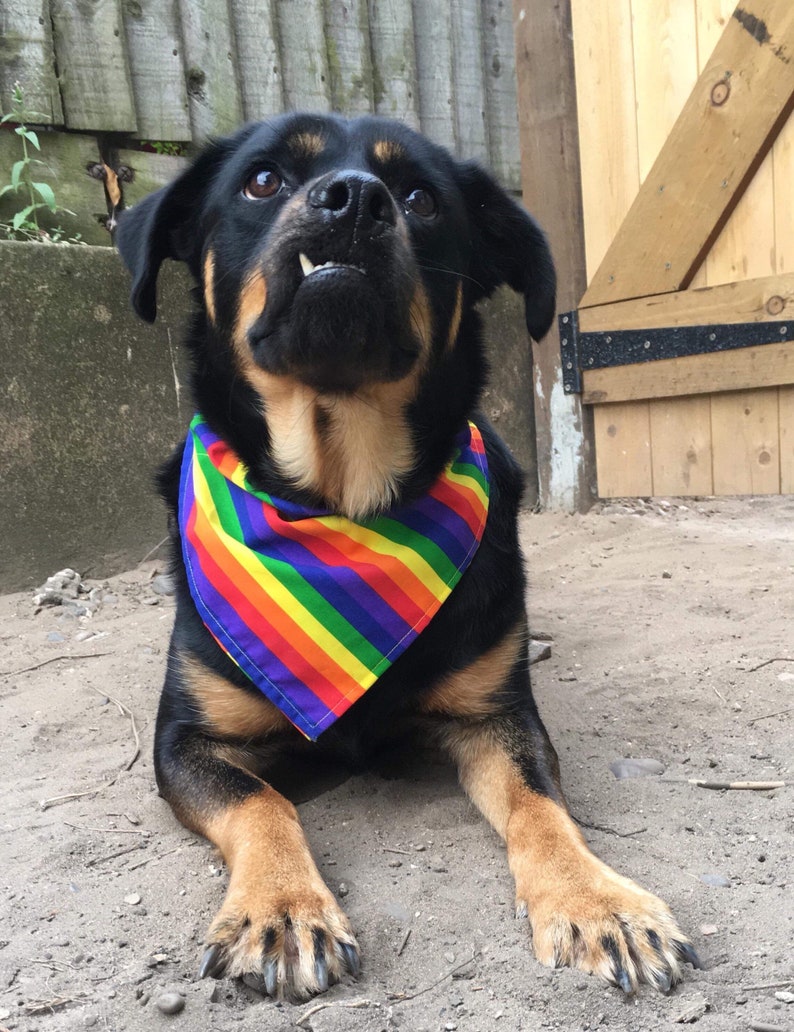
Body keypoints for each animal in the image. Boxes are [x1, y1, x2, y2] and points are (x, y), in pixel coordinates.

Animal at [114, 113, 697, 998]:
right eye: (261, 180)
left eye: (421, 197)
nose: (355, 198)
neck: (341, 506)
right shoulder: (186, 740)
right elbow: (260, 803)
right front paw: (283, 907)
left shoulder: (497, 718)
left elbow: (541, 806)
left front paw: (598, 900)